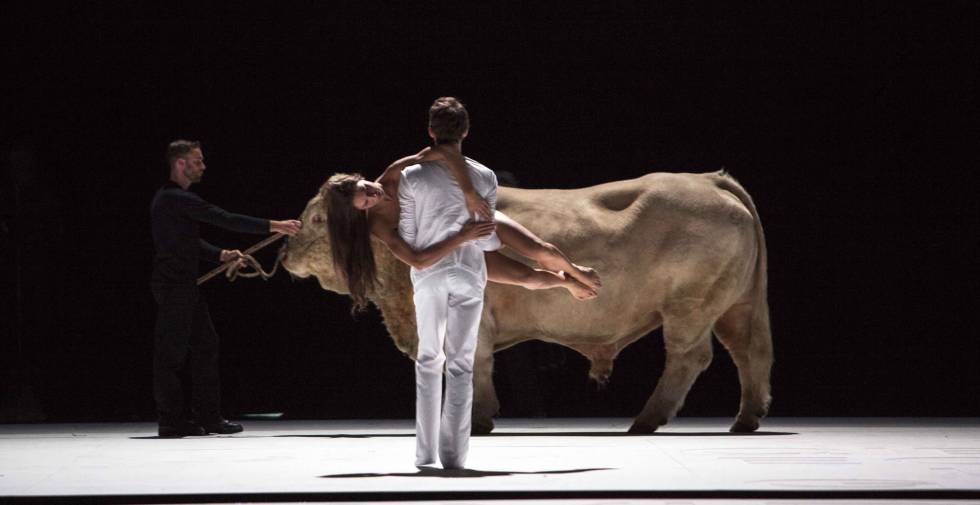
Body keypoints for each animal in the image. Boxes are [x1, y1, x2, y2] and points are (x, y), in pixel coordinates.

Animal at [282, 171, 772, 432]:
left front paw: (476, 418)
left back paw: (647, 419)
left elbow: (475, 364)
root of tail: (707, 179)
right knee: (750, 353)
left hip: (689, 309)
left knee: (689, 357)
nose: (285, 253)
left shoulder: (475, 320)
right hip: (735, 307)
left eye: (319, 218)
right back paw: (745, 418)